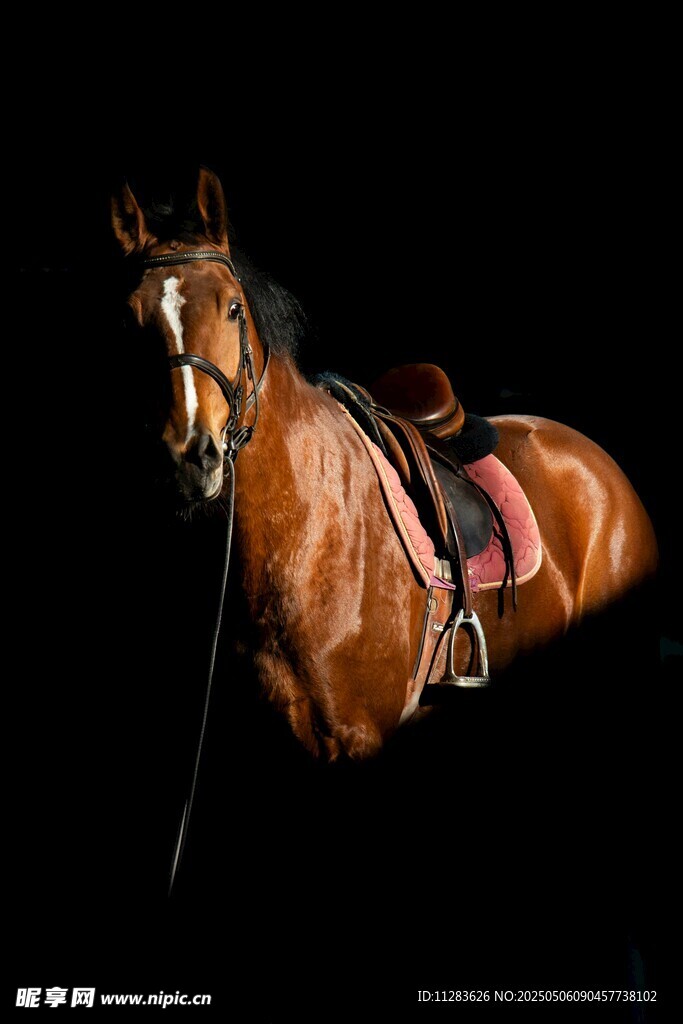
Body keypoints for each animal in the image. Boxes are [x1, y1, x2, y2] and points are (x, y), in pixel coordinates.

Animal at [111, 167, 658, 767]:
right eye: (130, 319)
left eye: (232, 308)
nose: (191, 455)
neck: (306, 531)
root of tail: (603, 468)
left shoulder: (357, 738)